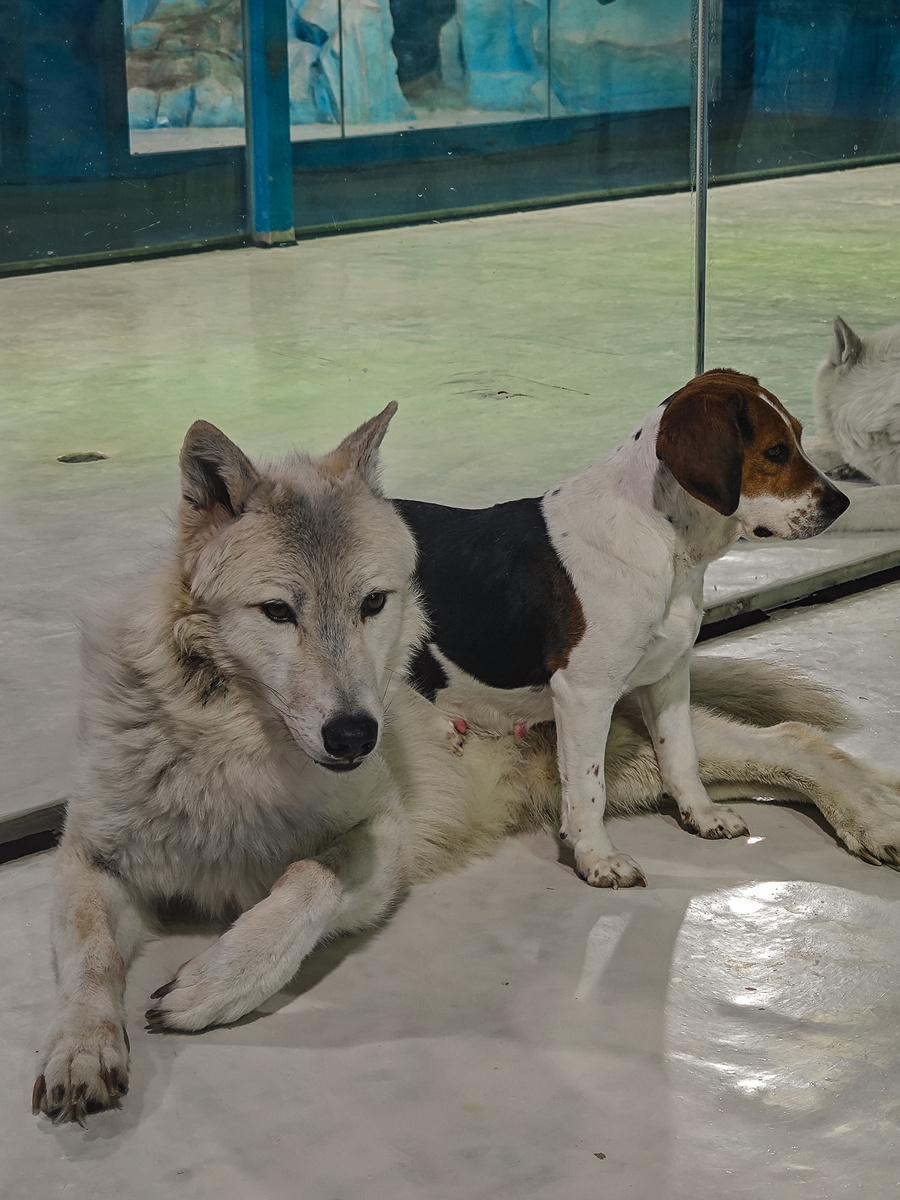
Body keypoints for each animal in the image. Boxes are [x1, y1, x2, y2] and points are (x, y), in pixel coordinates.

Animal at [34, 404, 900, 1124]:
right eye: (277, 612)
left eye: (374, 603)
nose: (356, 737)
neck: (239, 750)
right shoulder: (88, 859)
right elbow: (90, 954)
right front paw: (82, 1047)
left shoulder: (380, 842)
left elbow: (305, 879)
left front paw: (218, 980)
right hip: (622, 764)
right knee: (769, 748)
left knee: (796, 739)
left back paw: (874, 819)